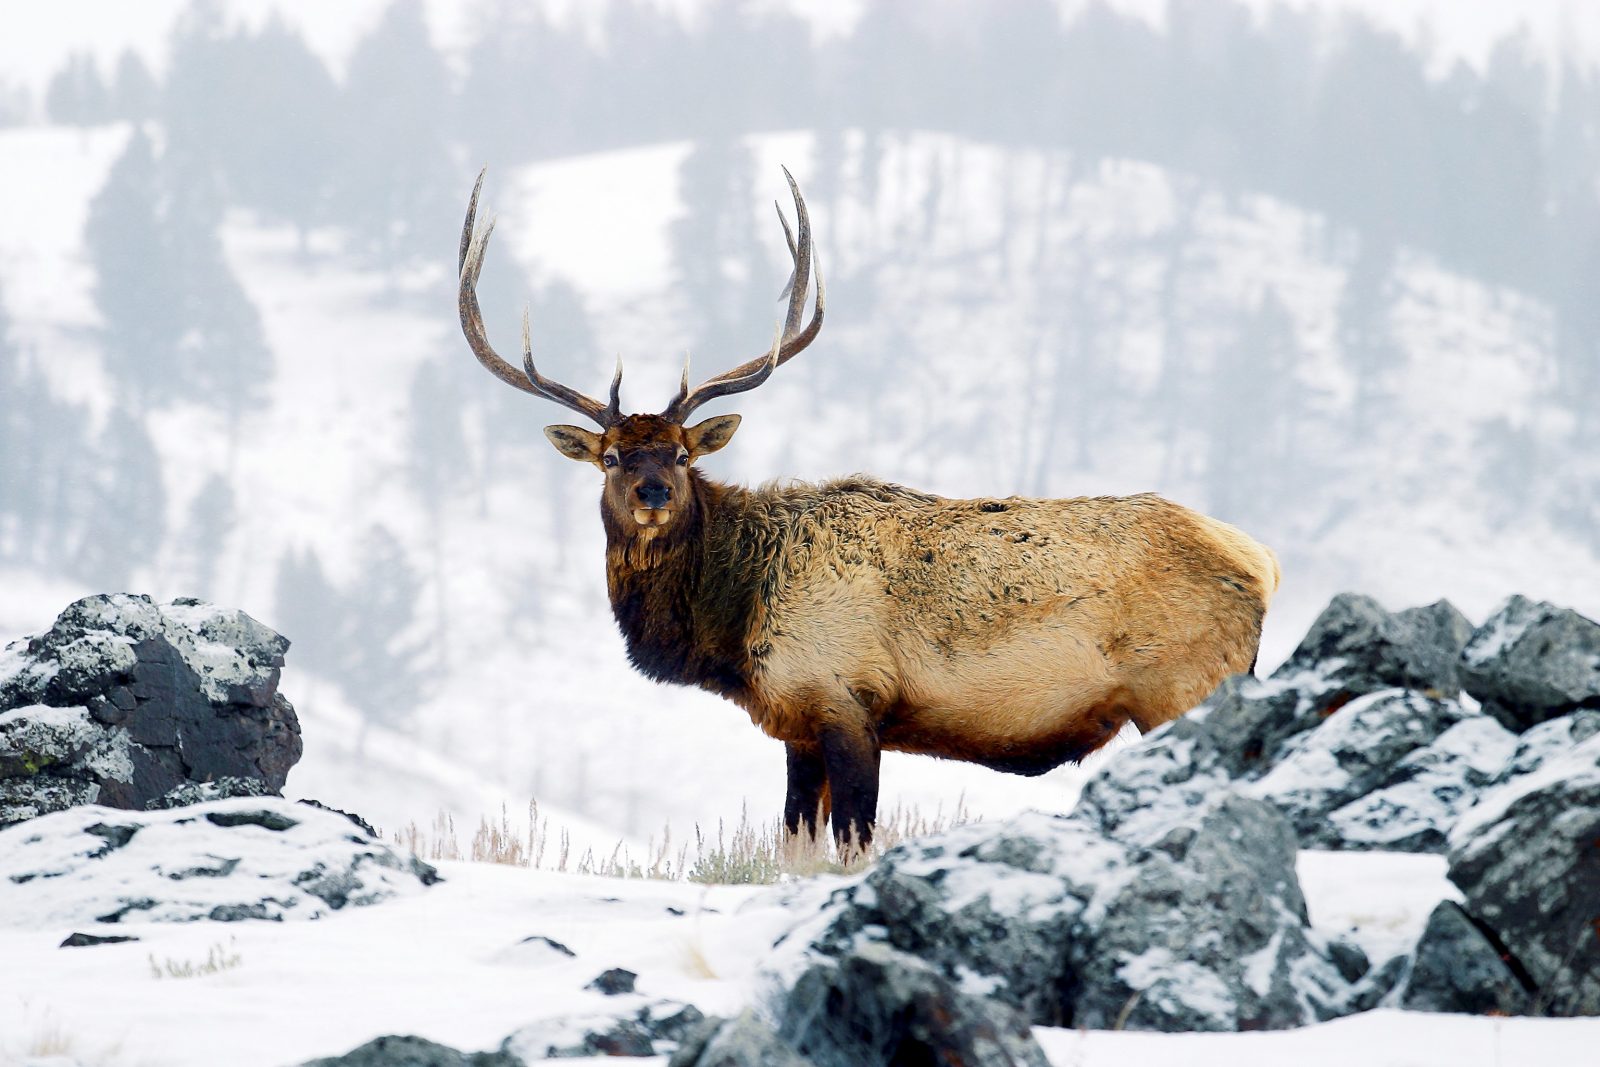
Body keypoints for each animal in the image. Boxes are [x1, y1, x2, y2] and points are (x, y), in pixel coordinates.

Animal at [457, 167, 1280, 850]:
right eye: (613, 456)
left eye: (684, 456)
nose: (653, 493)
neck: (735, 623)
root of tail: (1261, 561)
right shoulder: (796, 724)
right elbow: (794, 847)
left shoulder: (847, 700)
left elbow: (850, 846)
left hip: (1186, 685)